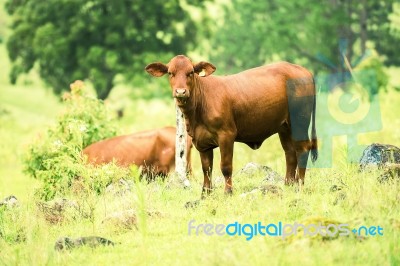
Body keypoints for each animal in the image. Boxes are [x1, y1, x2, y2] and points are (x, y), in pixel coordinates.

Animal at [145, 55, 318, 196]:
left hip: (300, 122)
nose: (180, 92)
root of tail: (304, 71)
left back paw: (299, 186)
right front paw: (205, 194)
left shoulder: (226, 135)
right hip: (285, 127)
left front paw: (228, 192)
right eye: (170, 73)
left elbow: (226, 166)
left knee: (302, 149)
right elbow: (206, 168)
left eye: (191, 72)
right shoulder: (201, 141)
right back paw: (288, 185)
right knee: (290, 153)